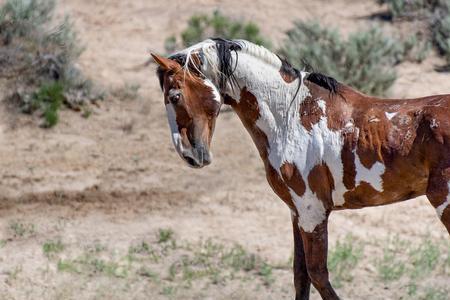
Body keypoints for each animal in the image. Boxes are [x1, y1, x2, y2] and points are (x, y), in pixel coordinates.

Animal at [151, 38, 450, 298]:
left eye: (174, 96)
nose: (189, 155)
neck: (291, 117)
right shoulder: (297, 214)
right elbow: (301, 276)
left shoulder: (312, 212)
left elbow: (318, 275)